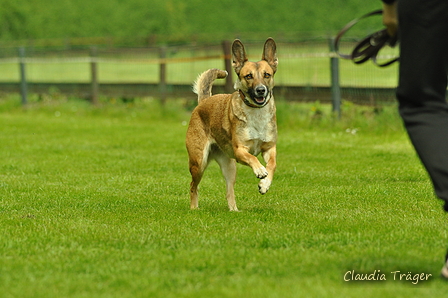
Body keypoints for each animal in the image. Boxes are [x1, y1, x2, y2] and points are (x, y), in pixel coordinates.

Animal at [185, 38, 276, 211]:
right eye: (249, 76)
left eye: (267, 75)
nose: (261, 90)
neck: (256, 112)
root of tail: (204, 101)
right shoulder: (240, 150)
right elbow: (252, 158)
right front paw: (260, 170)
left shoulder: (270, 148)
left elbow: (272, 165)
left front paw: (264, 185)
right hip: (198, 162)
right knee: (193, 186)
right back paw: (194, 208)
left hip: (230, 167)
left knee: (229, 191)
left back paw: (234, 210)